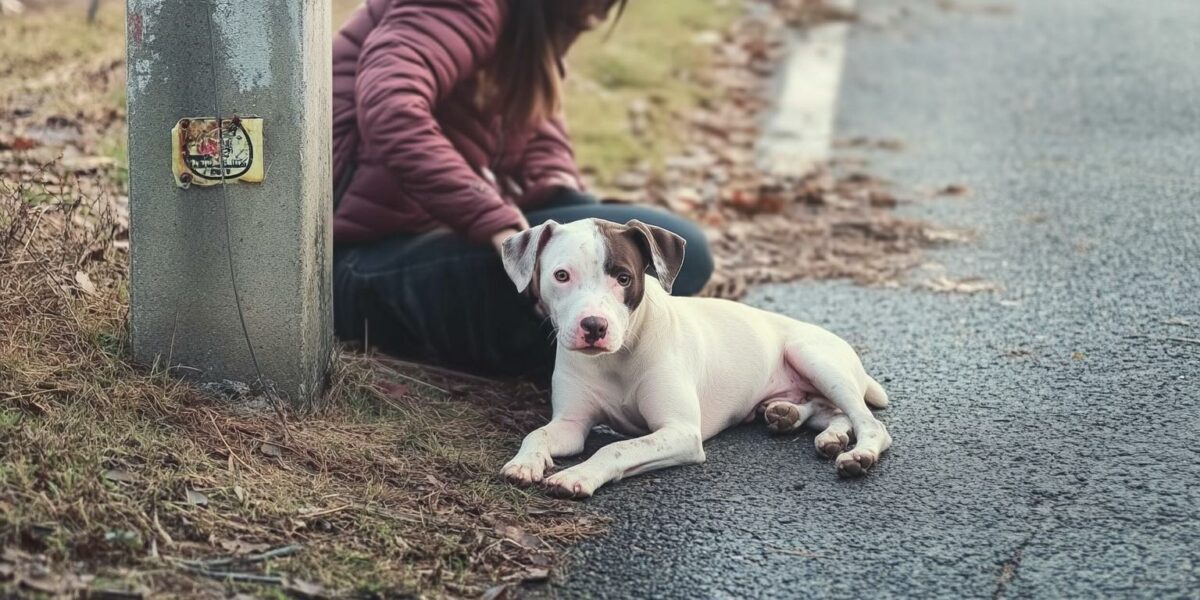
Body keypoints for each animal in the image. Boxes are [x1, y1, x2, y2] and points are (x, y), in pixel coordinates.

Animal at [499, 217, 892, 496]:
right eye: (561, 275)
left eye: (624, 278)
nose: (594, 326)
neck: (617, 357)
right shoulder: (571, 424)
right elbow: (537, 434)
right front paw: (525, 463)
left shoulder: (681, 433)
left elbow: (615, 449)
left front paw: (577, 475)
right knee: (833, 411)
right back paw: (803, 422)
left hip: (812, 356)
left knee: (868, 420)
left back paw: (858, 453)